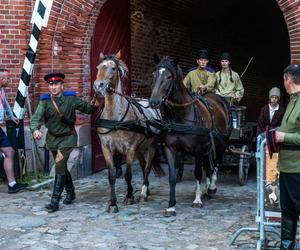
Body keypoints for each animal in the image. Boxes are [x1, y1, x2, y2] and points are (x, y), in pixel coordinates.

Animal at [94, 51, 163, 213]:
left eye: (113, 68)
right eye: (98, 67)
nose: (98, 86)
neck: (115, 118)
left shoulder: (129, 149)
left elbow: (128, 175)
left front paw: (129, 196)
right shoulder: (106, 149)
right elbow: (112, 176)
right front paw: (113, 204)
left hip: (151, 146)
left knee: (148, 167)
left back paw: (144, 193)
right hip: (139, 149)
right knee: (143, 166)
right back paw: (147, 189)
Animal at [149, 55, 231, 216]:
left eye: (169, 77)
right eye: (154, 75)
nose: (154, 102)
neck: (181, 114)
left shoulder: (198, 149)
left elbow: (198, 173)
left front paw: (197, 200)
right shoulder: (170, 149)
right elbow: (172, 177)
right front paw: (171, 206)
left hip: (220, 143)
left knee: (216, 163)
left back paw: (211, 187)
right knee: (208, 165)